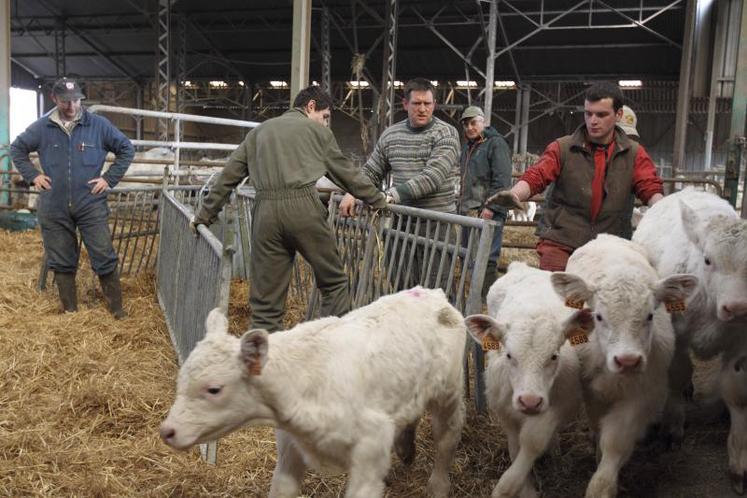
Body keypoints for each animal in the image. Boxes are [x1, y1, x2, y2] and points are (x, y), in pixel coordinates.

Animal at [161, 288, 468, 498]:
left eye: (214, 389)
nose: (167, 431)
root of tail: (433, 294)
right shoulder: (290, 448)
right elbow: (282, 489)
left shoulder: (371, 449)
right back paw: (406, 450)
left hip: (449, 393)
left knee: (447, 437)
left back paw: (438, 486)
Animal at [468, 262, 592, 496]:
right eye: (509, 355)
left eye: (554, 356)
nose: (530, 401)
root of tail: (522, 266)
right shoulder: (504, 410)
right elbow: (515, 446)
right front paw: (525, 488)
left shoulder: (558, 405)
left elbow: (533, 441)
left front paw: (508, 485)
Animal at [552, 234, 700, 498]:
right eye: (599, 316)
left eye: (650, 315)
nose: (628, 360)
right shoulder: (593, 393)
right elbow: (599, 428)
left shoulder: (642, 395)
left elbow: (616, 441)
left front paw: (602, 485)